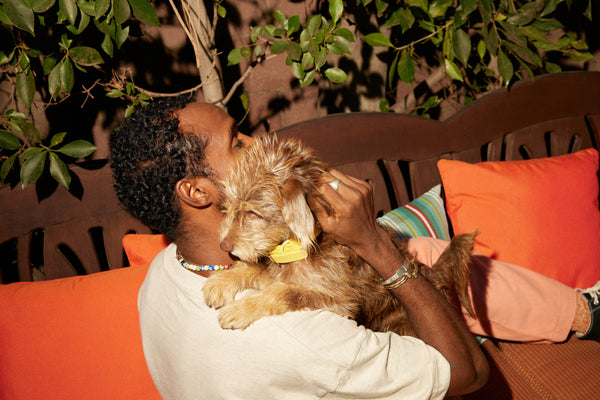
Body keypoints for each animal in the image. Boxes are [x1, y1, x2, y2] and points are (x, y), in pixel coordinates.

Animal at [204, 136, 476, 336]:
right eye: (227, 206)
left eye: (253, 213)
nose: (224, 245)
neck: (302, 246)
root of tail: (431, 274)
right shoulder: (277, 266)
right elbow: (256, 268)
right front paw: (222, 281)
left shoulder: (337, 299)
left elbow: (283, 293)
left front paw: (242, 308)